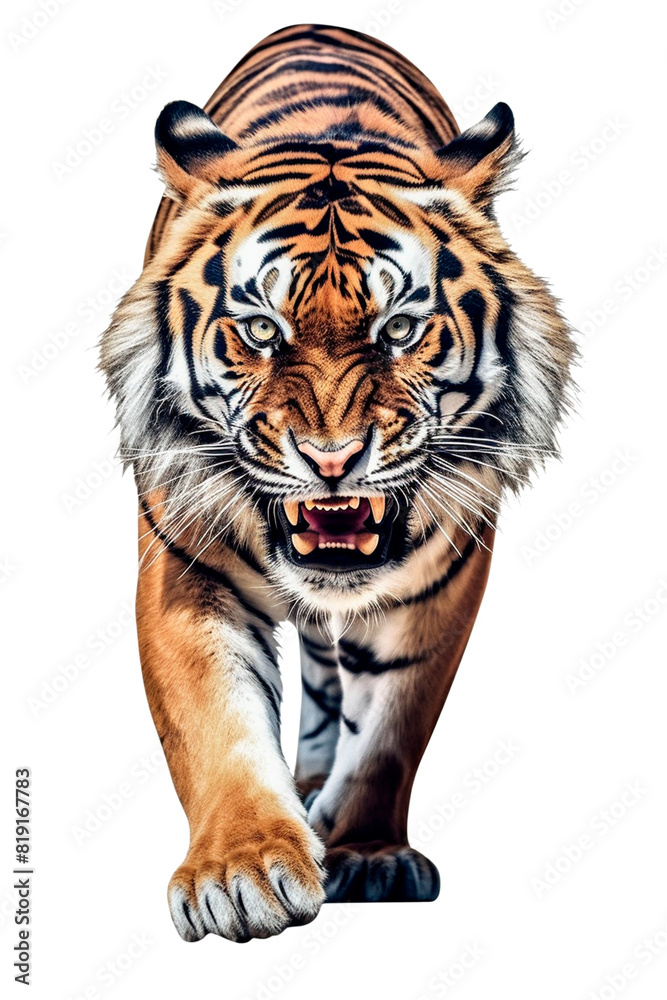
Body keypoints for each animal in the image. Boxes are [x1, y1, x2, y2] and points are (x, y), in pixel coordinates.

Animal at [100, 23, 575, 942]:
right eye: (260, 330)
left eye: (401, 329)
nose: (330, 459)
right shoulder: (185, 563)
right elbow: (214, 722)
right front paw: (241, 871)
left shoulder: (440, 576)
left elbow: (390, 728)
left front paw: (364, 851)